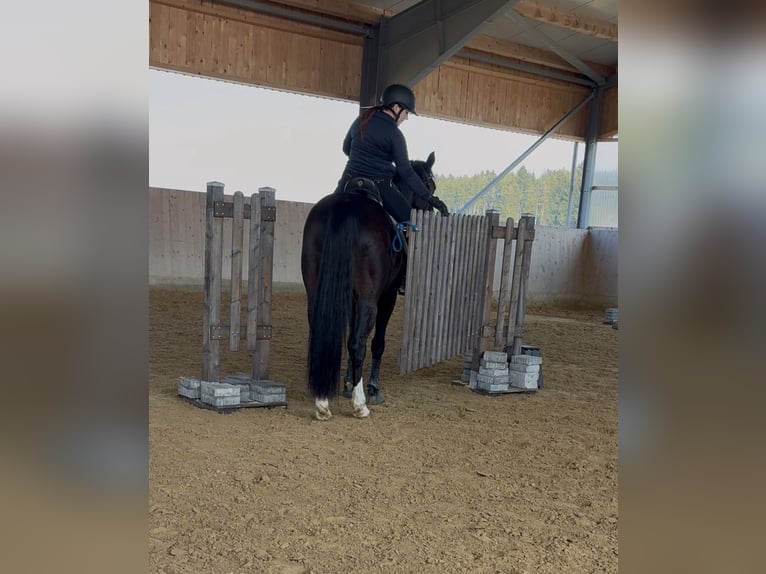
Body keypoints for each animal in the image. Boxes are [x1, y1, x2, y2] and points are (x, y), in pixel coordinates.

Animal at [300, 152, 441, 420]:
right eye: (430, 185)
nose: (431, 207)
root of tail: (345, 208)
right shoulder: (386, 297)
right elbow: (376, 343)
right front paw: (373, 388)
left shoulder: (352, 299)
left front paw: (347, 383)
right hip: (370, 298)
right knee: (359, 344)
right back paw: (360, 404)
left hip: (315, 292)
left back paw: (322, 402)